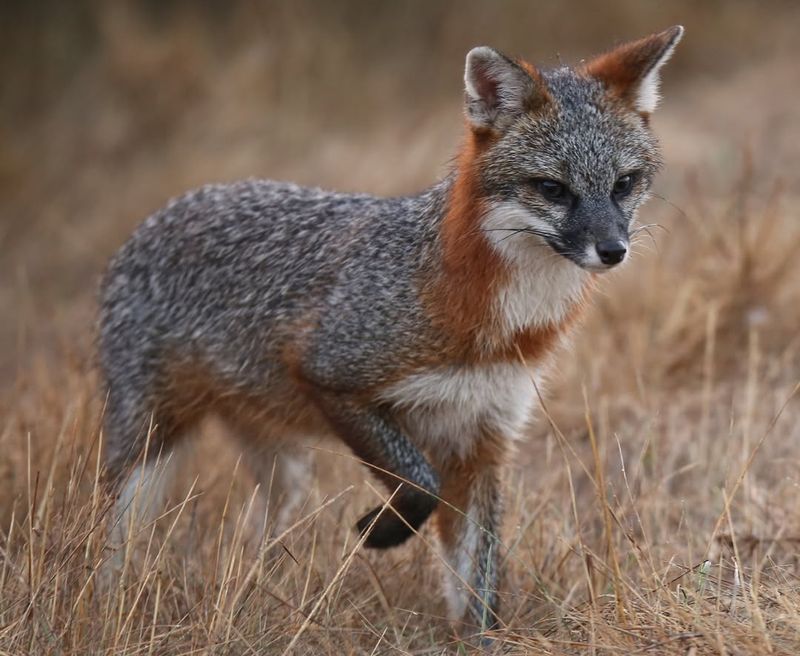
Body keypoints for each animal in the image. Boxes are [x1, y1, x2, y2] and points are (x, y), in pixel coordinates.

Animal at [99, 26, 684, 632]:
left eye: (624, 184)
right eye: (552, 188)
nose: (613, 250)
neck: (497, 324)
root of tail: (165, 210)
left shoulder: (483, 440)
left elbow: (479, 582)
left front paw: (476, 638)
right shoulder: (332, 377)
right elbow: (419, 484)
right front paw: (382, 530)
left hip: (284, 473)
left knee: (254, 531)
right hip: (147, 453)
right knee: (112, 548)